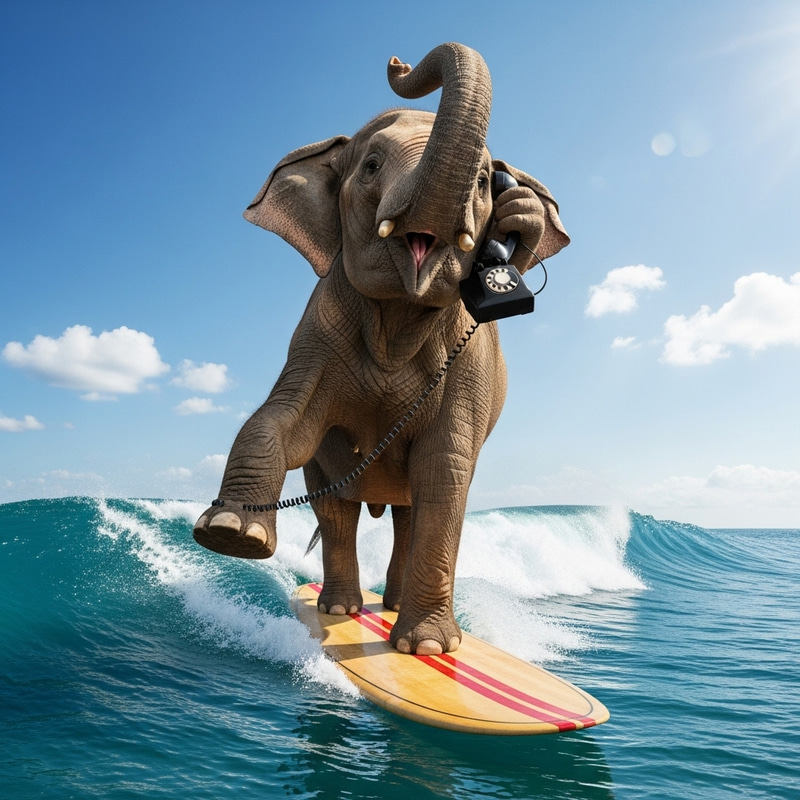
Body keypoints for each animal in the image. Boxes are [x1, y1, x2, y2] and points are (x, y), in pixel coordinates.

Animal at [192, 42, 569, 656]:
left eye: (486, 182)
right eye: (369, 166)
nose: (397, 64)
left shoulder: (466, 365)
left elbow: (445, 469)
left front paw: (430, 650)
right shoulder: (318, 334)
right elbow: (288, 423)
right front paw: (232, 533)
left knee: (412, 511)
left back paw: (390, 611)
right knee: (336, 506)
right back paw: (342, 608)